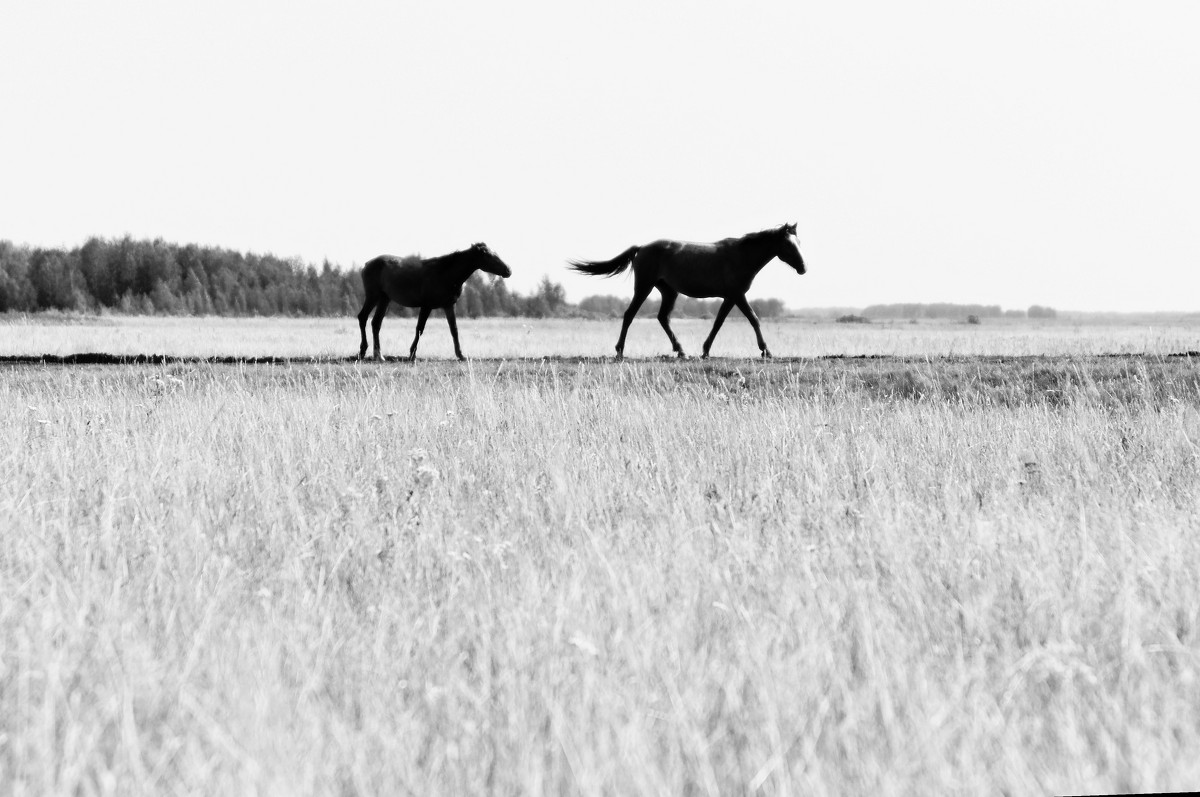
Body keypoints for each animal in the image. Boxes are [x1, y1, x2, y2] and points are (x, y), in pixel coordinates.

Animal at [350, 241, 511, 362]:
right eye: (489, 256)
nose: (508, 270)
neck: (446, 273)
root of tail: (366, 264)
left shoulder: (449, 305)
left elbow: (454, 329)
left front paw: (461, 355)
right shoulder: (426, 306)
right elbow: (420, 328)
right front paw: (412, 354)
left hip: (385, 298)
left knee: (376, 323)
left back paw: (378, 355)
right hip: (373, 296)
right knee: (363, 317)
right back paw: (363, 351)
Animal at [571, 224, 806, 360]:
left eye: (799, 241)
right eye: (788, 244)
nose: (803, 268)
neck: (741, 255)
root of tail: (642, 248)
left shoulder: (730, 297)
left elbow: (719, 322)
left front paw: (705, 350)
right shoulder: (737, 295)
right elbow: (752, 319)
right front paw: (766, 350)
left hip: (669, 292)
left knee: (663, 317)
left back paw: (681, 351)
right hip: (644, 287)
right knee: (630, 314)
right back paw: (619, 351)